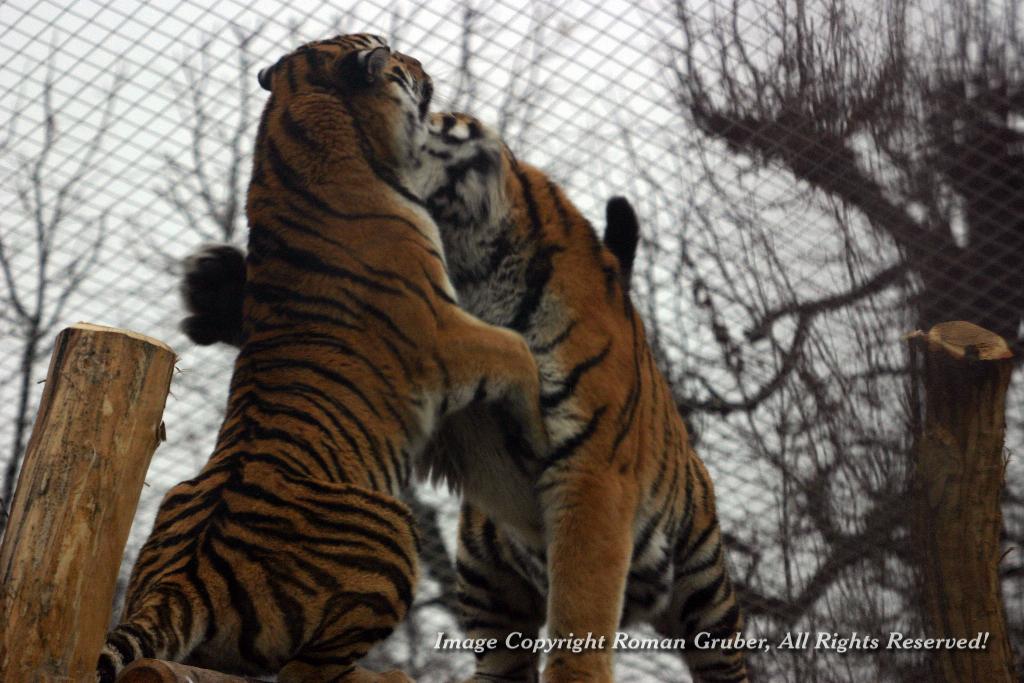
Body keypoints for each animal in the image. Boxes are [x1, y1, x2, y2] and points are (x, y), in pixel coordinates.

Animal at [99, 37, 552, 683]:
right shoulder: (442, 329)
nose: (421, 64)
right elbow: (515, 349)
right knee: (307, 671)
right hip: (392, 529)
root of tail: (183, 581)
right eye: (395, 56)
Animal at [180, 109, 749, 679]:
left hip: (705, 593)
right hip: (489, 585)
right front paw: (217, 288)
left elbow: (580, 610)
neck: (477, 275)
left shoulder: (592, 474)